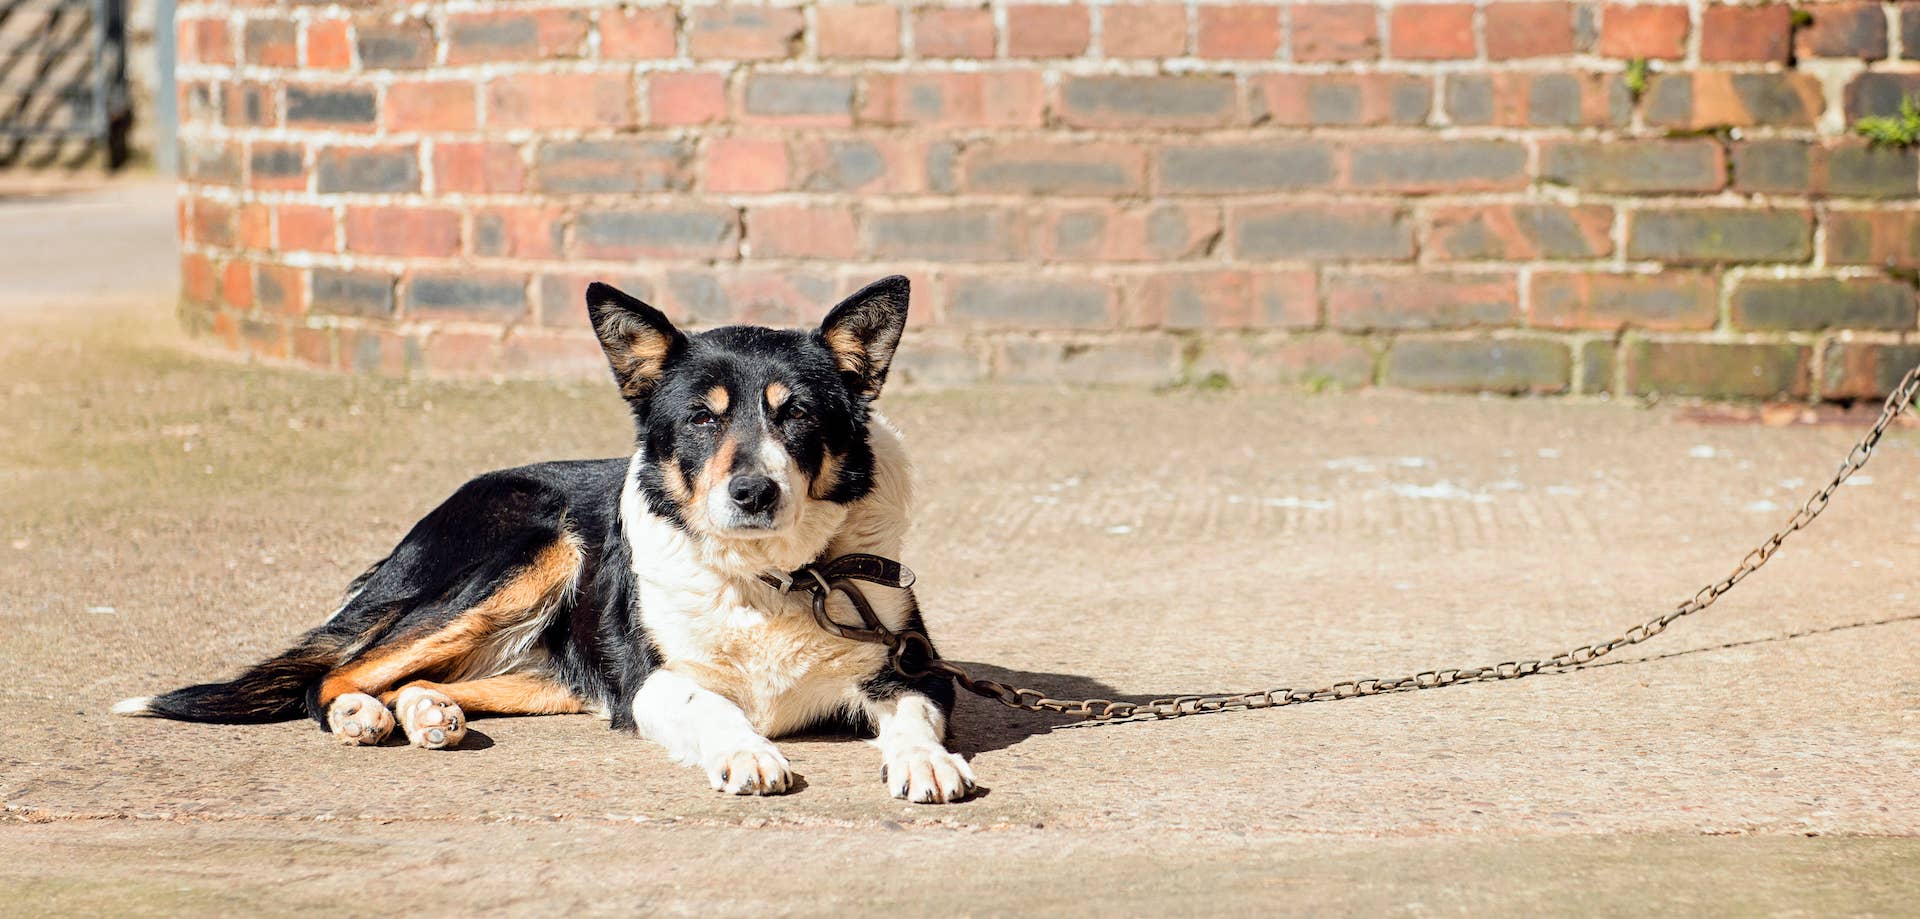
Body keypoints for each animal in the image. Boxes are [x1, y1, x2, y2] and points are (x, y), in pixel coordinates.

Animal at [116, 276, 975, 801]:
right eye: (702, 418)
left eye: (795, 413)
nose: (753, 492)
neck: (768, 578)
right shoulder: (648, 682)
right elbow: (712, 706)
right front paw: (750, 751)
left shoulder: (914, 668)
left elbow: (911, 716)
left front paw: (928, 761)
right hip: (533, 551)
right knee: (331, 675)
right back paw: (362, 713)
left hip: (551, 670)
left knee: (424, 677)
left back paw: (426, 711)